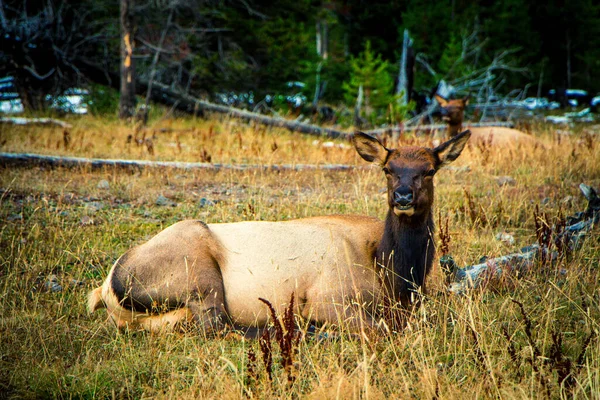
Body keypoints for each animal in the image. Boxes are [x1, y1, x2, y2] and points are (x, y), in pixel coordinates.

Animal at [89, 130, 472, 334]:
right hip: (197, 274)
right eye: (388, 169)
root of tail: (106, 287)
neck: (393, 274)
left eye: (430, 170)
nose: (403, 196)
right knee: (220, 326)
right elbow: (376, 327)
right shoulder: (327, 298)